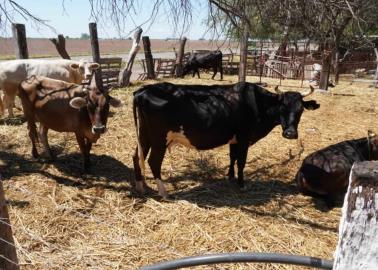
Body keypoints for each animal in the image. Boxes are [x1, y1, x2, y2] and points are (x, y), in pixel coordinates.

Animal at [133, 81, 318, 197]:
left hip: (144, 136)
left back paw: (142, 188)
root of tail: (143, 90)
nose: (290, 133)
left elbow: (232, 158)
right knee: (153, 162)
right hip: (159, 139)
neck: (257, 103)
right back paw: (164, 193)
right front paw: (242, 184)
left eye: (301, 110)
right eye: (282, 107)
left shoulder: (234, 139)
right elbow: (241, 161)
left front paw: (230, 177)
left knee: (136, 157)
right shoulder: (244, 138)